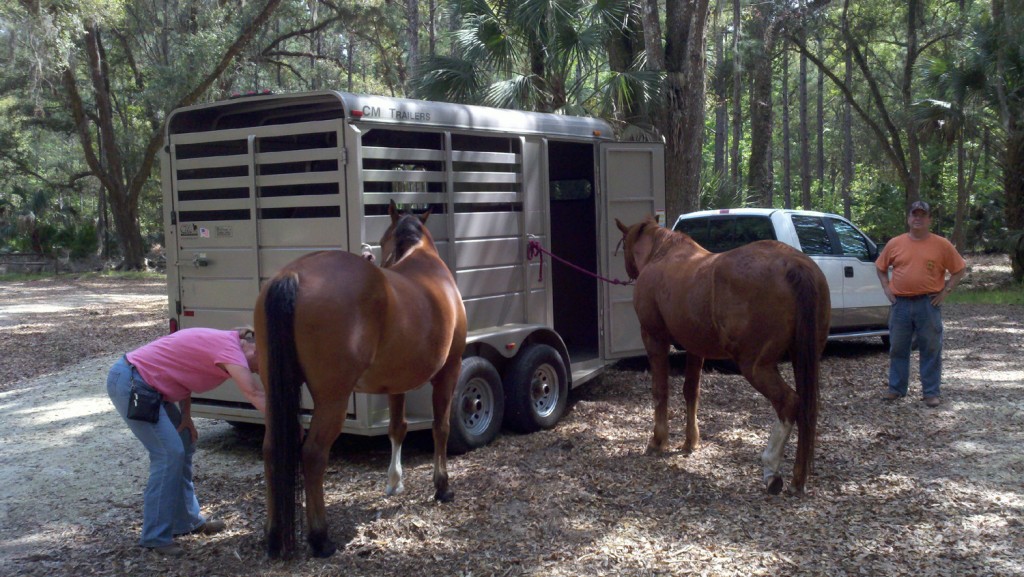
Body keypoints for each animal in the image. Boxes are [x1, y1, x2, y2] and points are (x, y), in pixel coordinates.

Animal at [255, 200, 467, 558]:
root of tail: (293, 275)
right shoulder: (448, 371)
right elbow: (441, 427)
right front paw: (442, 487)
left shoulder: (396, 382)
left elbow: (398, 428)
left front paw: (394, 482)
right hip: (333, 399)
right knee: (313, 454)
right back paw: (321, 538)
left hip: (273, 393)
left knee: (271, 451)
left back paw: (272, 537)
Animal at [615, 216, 830, 495]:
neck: (662, 255)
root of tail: (795, 264)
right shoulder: (695, 348)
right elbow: (691, 392)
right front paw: (690, 442)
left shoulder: (654, 338)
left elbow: (660, 390)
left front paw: (657, 441)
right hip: (803, 358)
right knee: (805, 407)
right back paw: (798, 478)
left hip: (755, 366)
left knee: (789, 402)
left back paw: (771, 469)